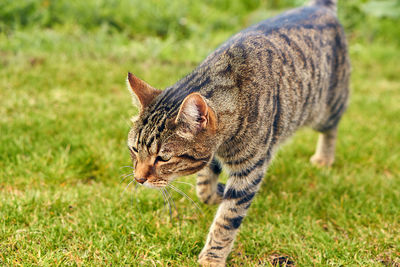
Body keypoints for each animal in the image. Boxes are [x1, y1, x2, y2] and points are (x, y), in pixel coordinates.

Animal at [126, 0, 348, 264]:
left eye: (163, 158)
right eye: (133, 149)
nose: (138, 179)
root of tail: (319, 6)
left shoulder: (249, 170)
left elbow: (227, 219)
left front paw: (212, 258)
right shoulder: (214, 155)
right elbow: (204, 186)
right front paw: (215, 193)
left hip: (326, 109)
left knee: (332, 128)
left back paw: (324, 158)